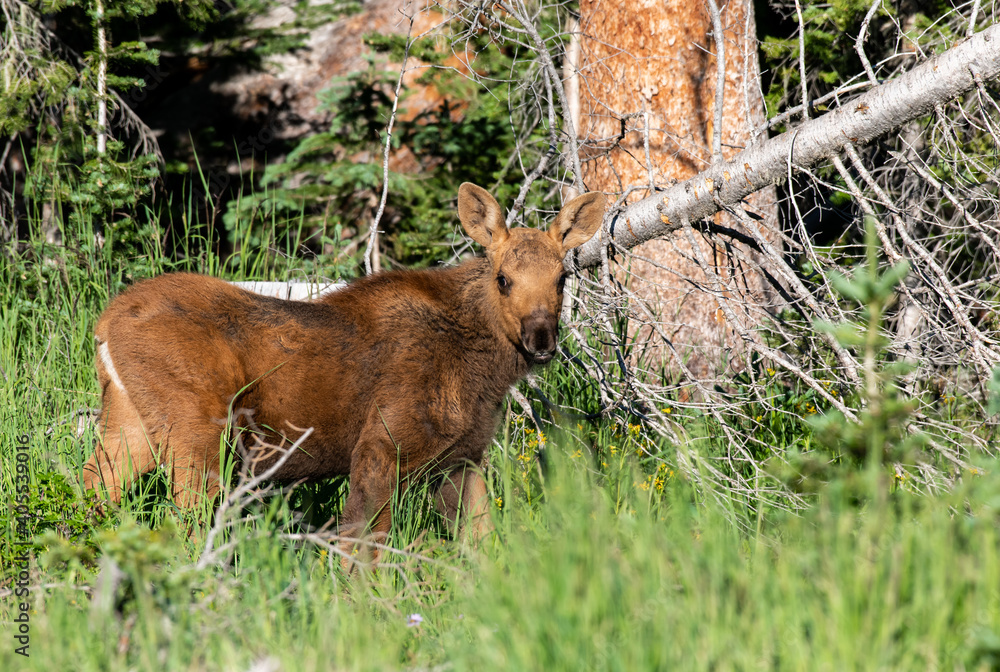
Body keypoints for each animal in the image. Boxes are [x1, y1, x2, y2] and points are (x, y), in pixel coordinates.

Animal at [82, 183, 606, 559]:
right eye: (503, 279)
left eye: (563, 278)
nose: (541, 339)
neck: (484, 373)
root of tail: (105, 324)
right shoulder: (382, 443)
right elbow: (364, 545)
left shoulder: (463, 456)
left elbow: (481, 540)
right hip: (197, 431)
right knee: (189, 520)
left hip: (130, 423)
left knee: (94, 487)